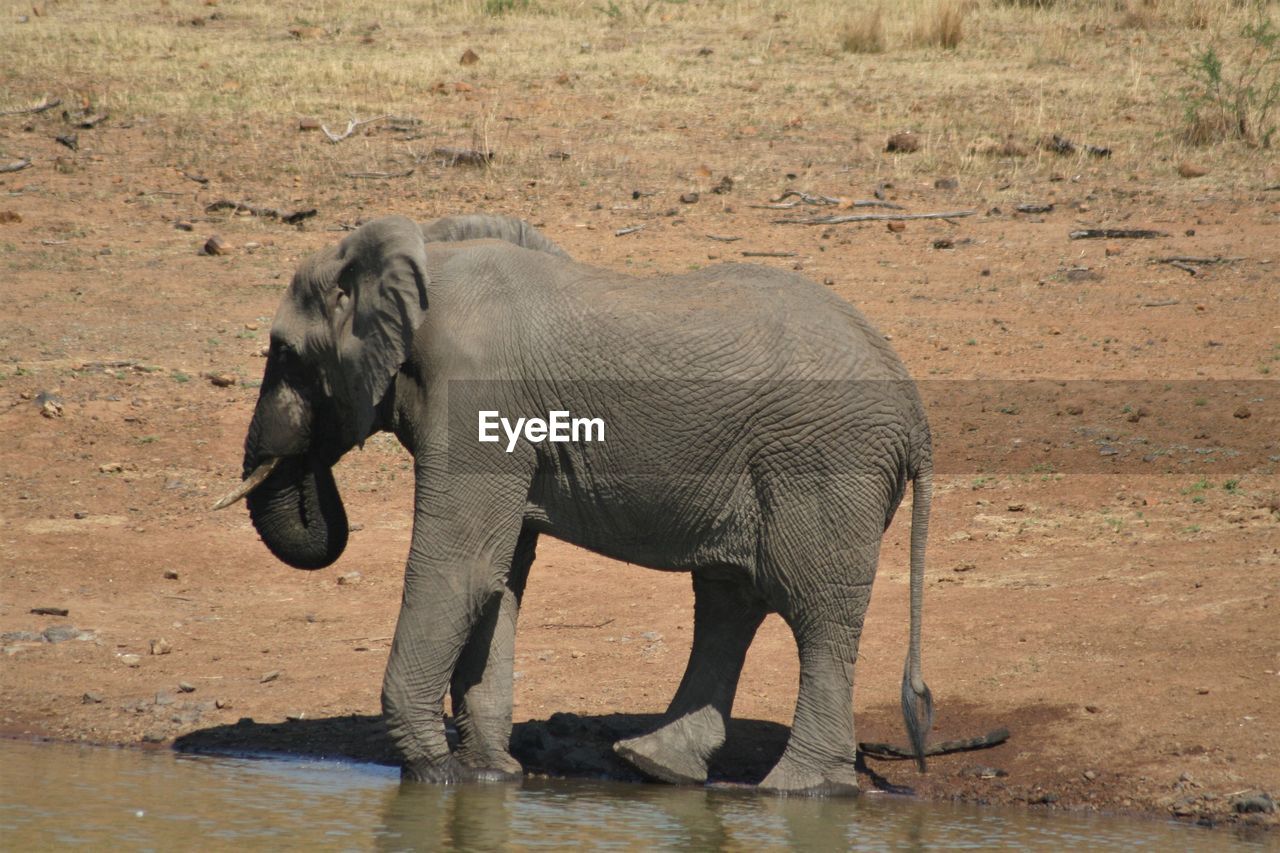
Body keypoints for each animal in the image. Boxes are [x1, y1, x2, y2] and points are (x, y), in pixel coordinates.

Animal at [220, 211, 936, 788]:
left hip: (823, 463)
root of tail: (916, 414)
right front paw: (489, 777)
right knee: (731, 600)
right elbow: (499, 577)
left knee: (813, 612)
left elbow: (461, 569)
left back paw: (796, 789)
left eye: (284, 353)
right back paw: (654, 764)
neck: (425, 257)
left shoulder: (475, 394)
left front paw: (434, 774)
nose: (312, 464)